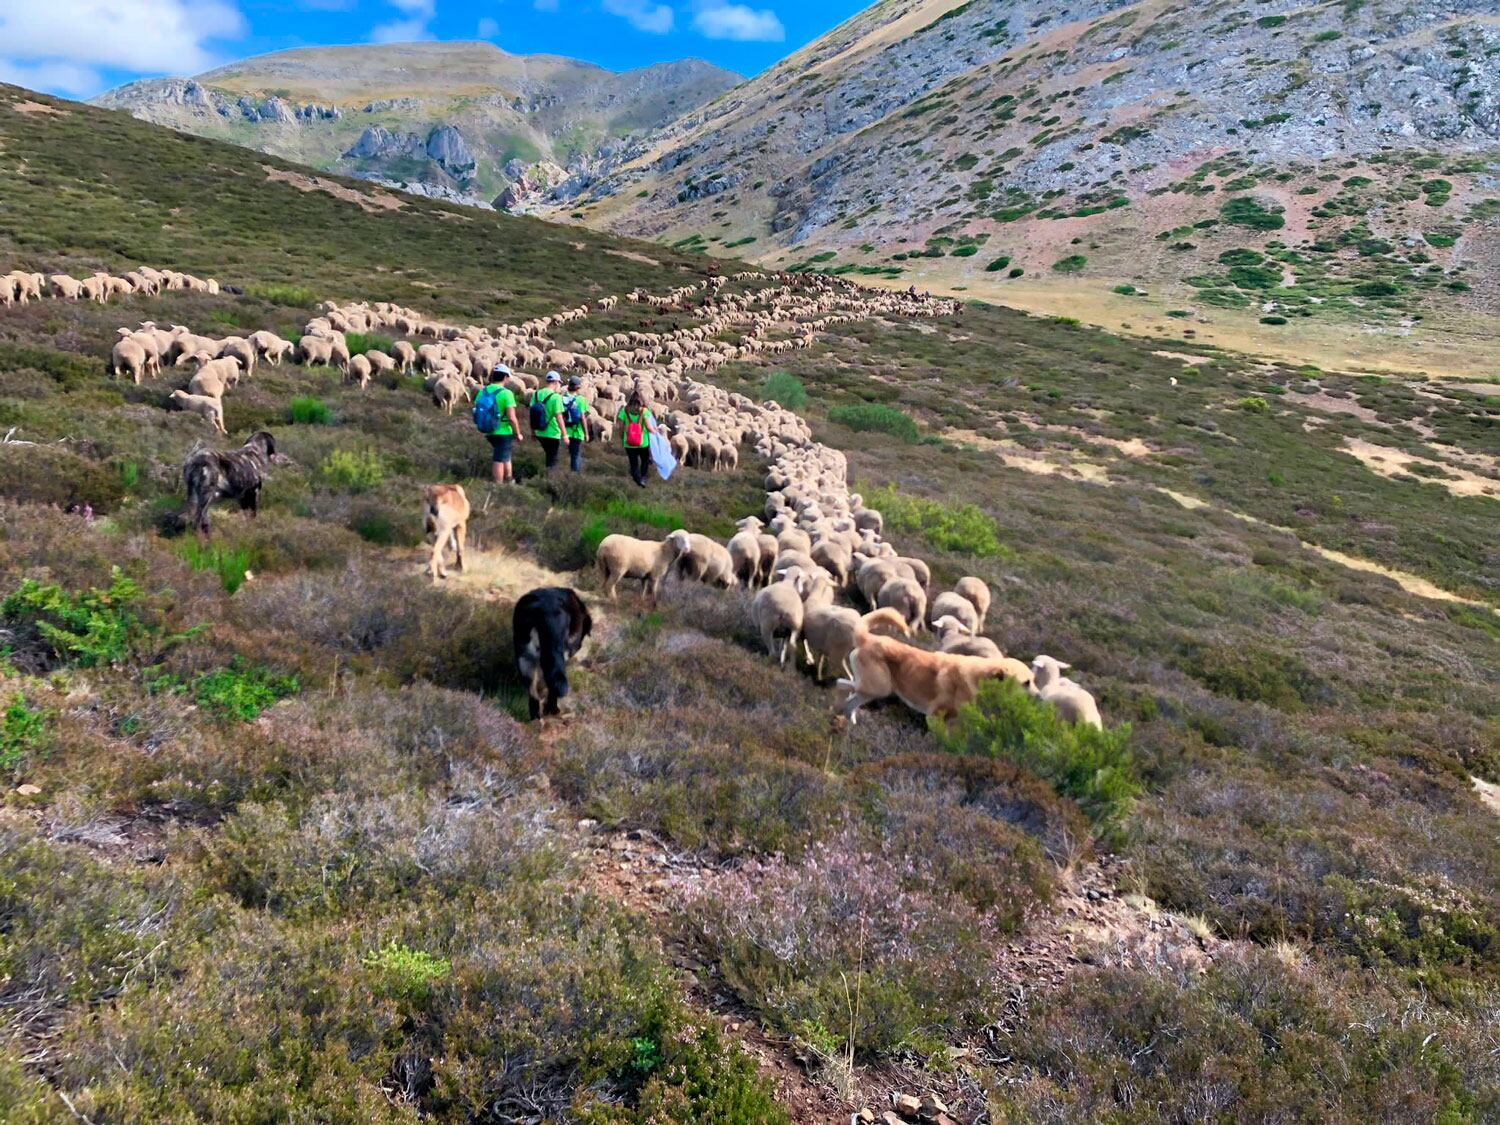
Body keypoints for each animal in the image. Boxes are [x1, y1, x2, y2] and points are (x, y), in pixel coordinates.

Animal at [510, 591, 591, 723]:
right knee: (554, 686)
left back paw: (536, 718)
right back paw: (553, 710)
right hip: (552, 658)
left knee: (533, 694)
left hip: (525, 659)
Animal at [834, 630, 1032, 726]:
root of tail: (867, 638)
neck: (981, 678)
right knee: (843, 686)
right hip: (879, 687)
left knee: (848, 695)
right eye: (1026, 683)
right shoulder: (936, 717)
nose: (1037, 698)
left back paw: (847, 719)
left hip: (873, 688)